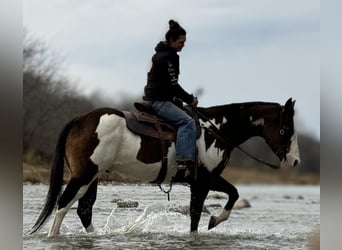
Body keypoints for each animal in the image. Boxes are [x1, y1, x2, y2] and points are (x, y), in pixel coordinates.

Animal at [30, 97, 300, 236]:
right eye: (286, 129)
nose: (295, 161)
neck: (216, 129)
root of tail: (80, 119)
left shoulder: (207, 180)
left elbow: (233, 193)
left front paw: (214, 220)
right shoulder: (203, 181)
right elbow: (196, 216)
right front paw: (212, 221)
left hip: (92, 178)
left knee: (83, 210)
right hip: (83, 176)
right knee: (63, 205)